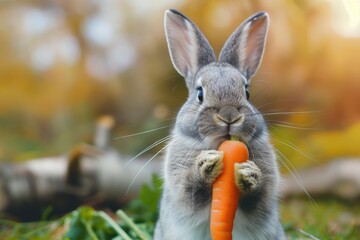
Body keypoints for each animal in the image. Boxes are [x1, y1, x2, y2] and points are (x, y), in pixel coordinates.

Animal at [153, 9, 286, 240]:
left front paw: (249, 173)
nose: (229, 115)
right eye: (200, 93)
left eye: (247, 92)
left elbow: (258, 195)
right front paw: (207, 164)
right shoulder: (179, 184)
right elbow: (190, 189)